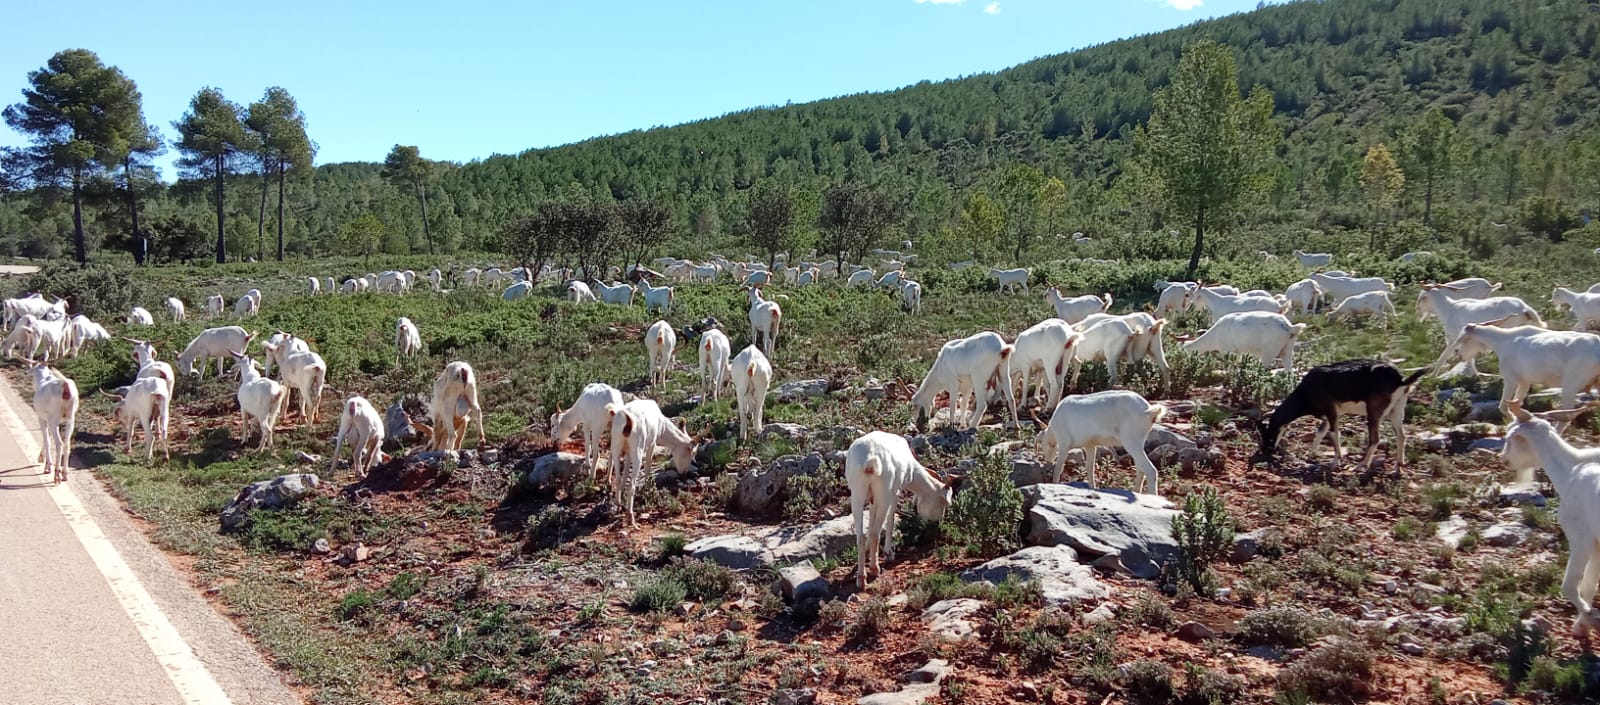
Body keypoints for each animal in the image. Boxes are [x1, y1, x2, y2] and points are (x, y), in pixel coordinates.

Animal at [845, 431, 953, 588]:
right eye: (944, 503)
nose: (937, 524)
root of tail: (870, 459)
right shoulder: (895, 492)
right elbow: (890, 521)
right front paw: (889, 553)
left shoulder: (872, 499)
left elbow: (871, 521)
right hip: (884, 494)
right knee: (876, 533)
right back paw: (875, 569)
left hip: (857, 493)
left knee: (861, 536)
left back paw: (861, 578)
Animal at [1037, 390, 1168, 495]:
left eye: (1043, 445)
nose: (1047, 460)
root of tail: (1148, 411)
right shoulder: (1090, 446)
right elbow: (1090, 468)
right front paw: (1092, 488)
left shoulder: (1064, 445)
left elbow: (1058, 469)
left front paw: (1053, 484)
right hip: (1137, 444)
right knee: (1141, 469)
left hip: (1132, 442)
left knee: (1150, 471)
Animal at [1257, 359, 1423, 469]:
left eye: (1267, 432)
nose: (1266, 451)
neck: (1306, 391)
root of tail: (1400, 380)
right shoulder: (1329, 415)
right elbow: (1320, 433)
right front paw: (1312, 455)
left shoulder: (1331, 412)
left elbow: (1334, 434)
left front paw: (1335, 461)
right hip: (1396, 410)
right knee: (1401, 435)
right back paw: (1400, 462)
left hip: (1374, 411)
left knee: (1375, 439)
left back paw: (1361, 465)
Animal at [1500, 402, 1600, 637]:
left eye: (1510, 436)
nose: (1503, 458)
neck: (1572, 471)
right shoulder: (1597, 544)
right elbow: (1589, 584)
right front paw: (1582, 625)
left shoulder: (1581, 537)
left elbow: (1571, 585)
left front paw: (1590, 619)